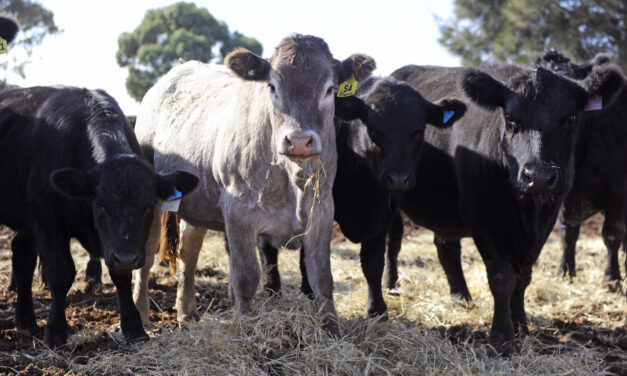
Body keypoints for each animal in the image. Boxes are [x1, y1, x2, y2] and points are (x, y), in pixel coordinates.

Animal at [0, 85, 199, 346]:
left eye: (149, 205)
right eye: (101, 204)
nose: (126, 257)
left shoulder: (119, 247)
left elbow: (121, 275)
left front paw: (134, 327)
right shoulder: (47, 219)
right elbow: (60, 273)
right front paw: (55, 331)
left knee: (22, 254)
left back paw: (26, 322)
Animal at [132, 35, 376, 334]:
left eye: (329, 89)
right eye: (272, 86)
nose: (298, 141)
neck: (290, 177)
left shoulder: (322, 211)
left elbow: (322, 278)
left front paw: (332, 329)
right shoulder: (238, 213)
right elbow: (246, 276)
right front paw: (245, 326)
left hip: (197, 202)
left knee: (189, 253)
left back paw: (187, 313)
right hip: (153, 199)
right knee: (146, 255)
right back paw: (142, 316)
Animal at [255, 75, 466, 318]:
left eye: (418, 131)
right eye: (373, 130)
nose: (398, 179)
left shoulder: (383, 215)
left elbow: (373, 262)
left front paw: (377, 309)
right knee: (266, 245)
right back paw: (272, 290)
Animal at [536, 51, 627, 290]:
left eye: (571, 113)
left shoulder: (618, 192)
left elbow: (612, 233)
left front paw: (612, 278)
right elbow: (568, 233)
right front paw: (565, 271)